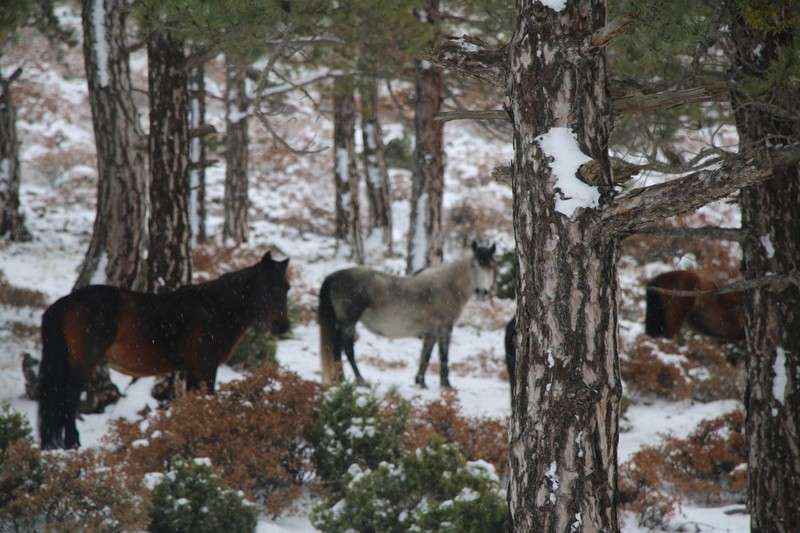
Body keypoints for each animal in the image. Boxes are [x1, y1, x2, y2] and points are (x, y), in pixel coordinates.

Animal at [38, 251, 290, 446]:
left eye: (286, 288)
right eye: (268, 286)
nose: (283, 325)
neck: (216, 309)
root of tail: (65, 302)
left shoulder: (192, 369)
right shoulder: (206, 366)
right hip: (85, 362)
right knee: (69, 396)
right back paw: (73, 443)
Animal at [318, 241, 494, 386]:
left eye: (491, 266)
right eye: (474, 265)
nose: (482, 292)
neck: (449, 286)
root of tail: (334, 276)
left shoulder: (431, 331)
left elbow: (426, 355)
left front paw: (420, 382)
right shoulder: (444, 327)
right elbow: (443, 355)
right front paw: (446, 384)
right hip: (348, 322)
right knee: (343, 349)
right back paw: (353, 380)